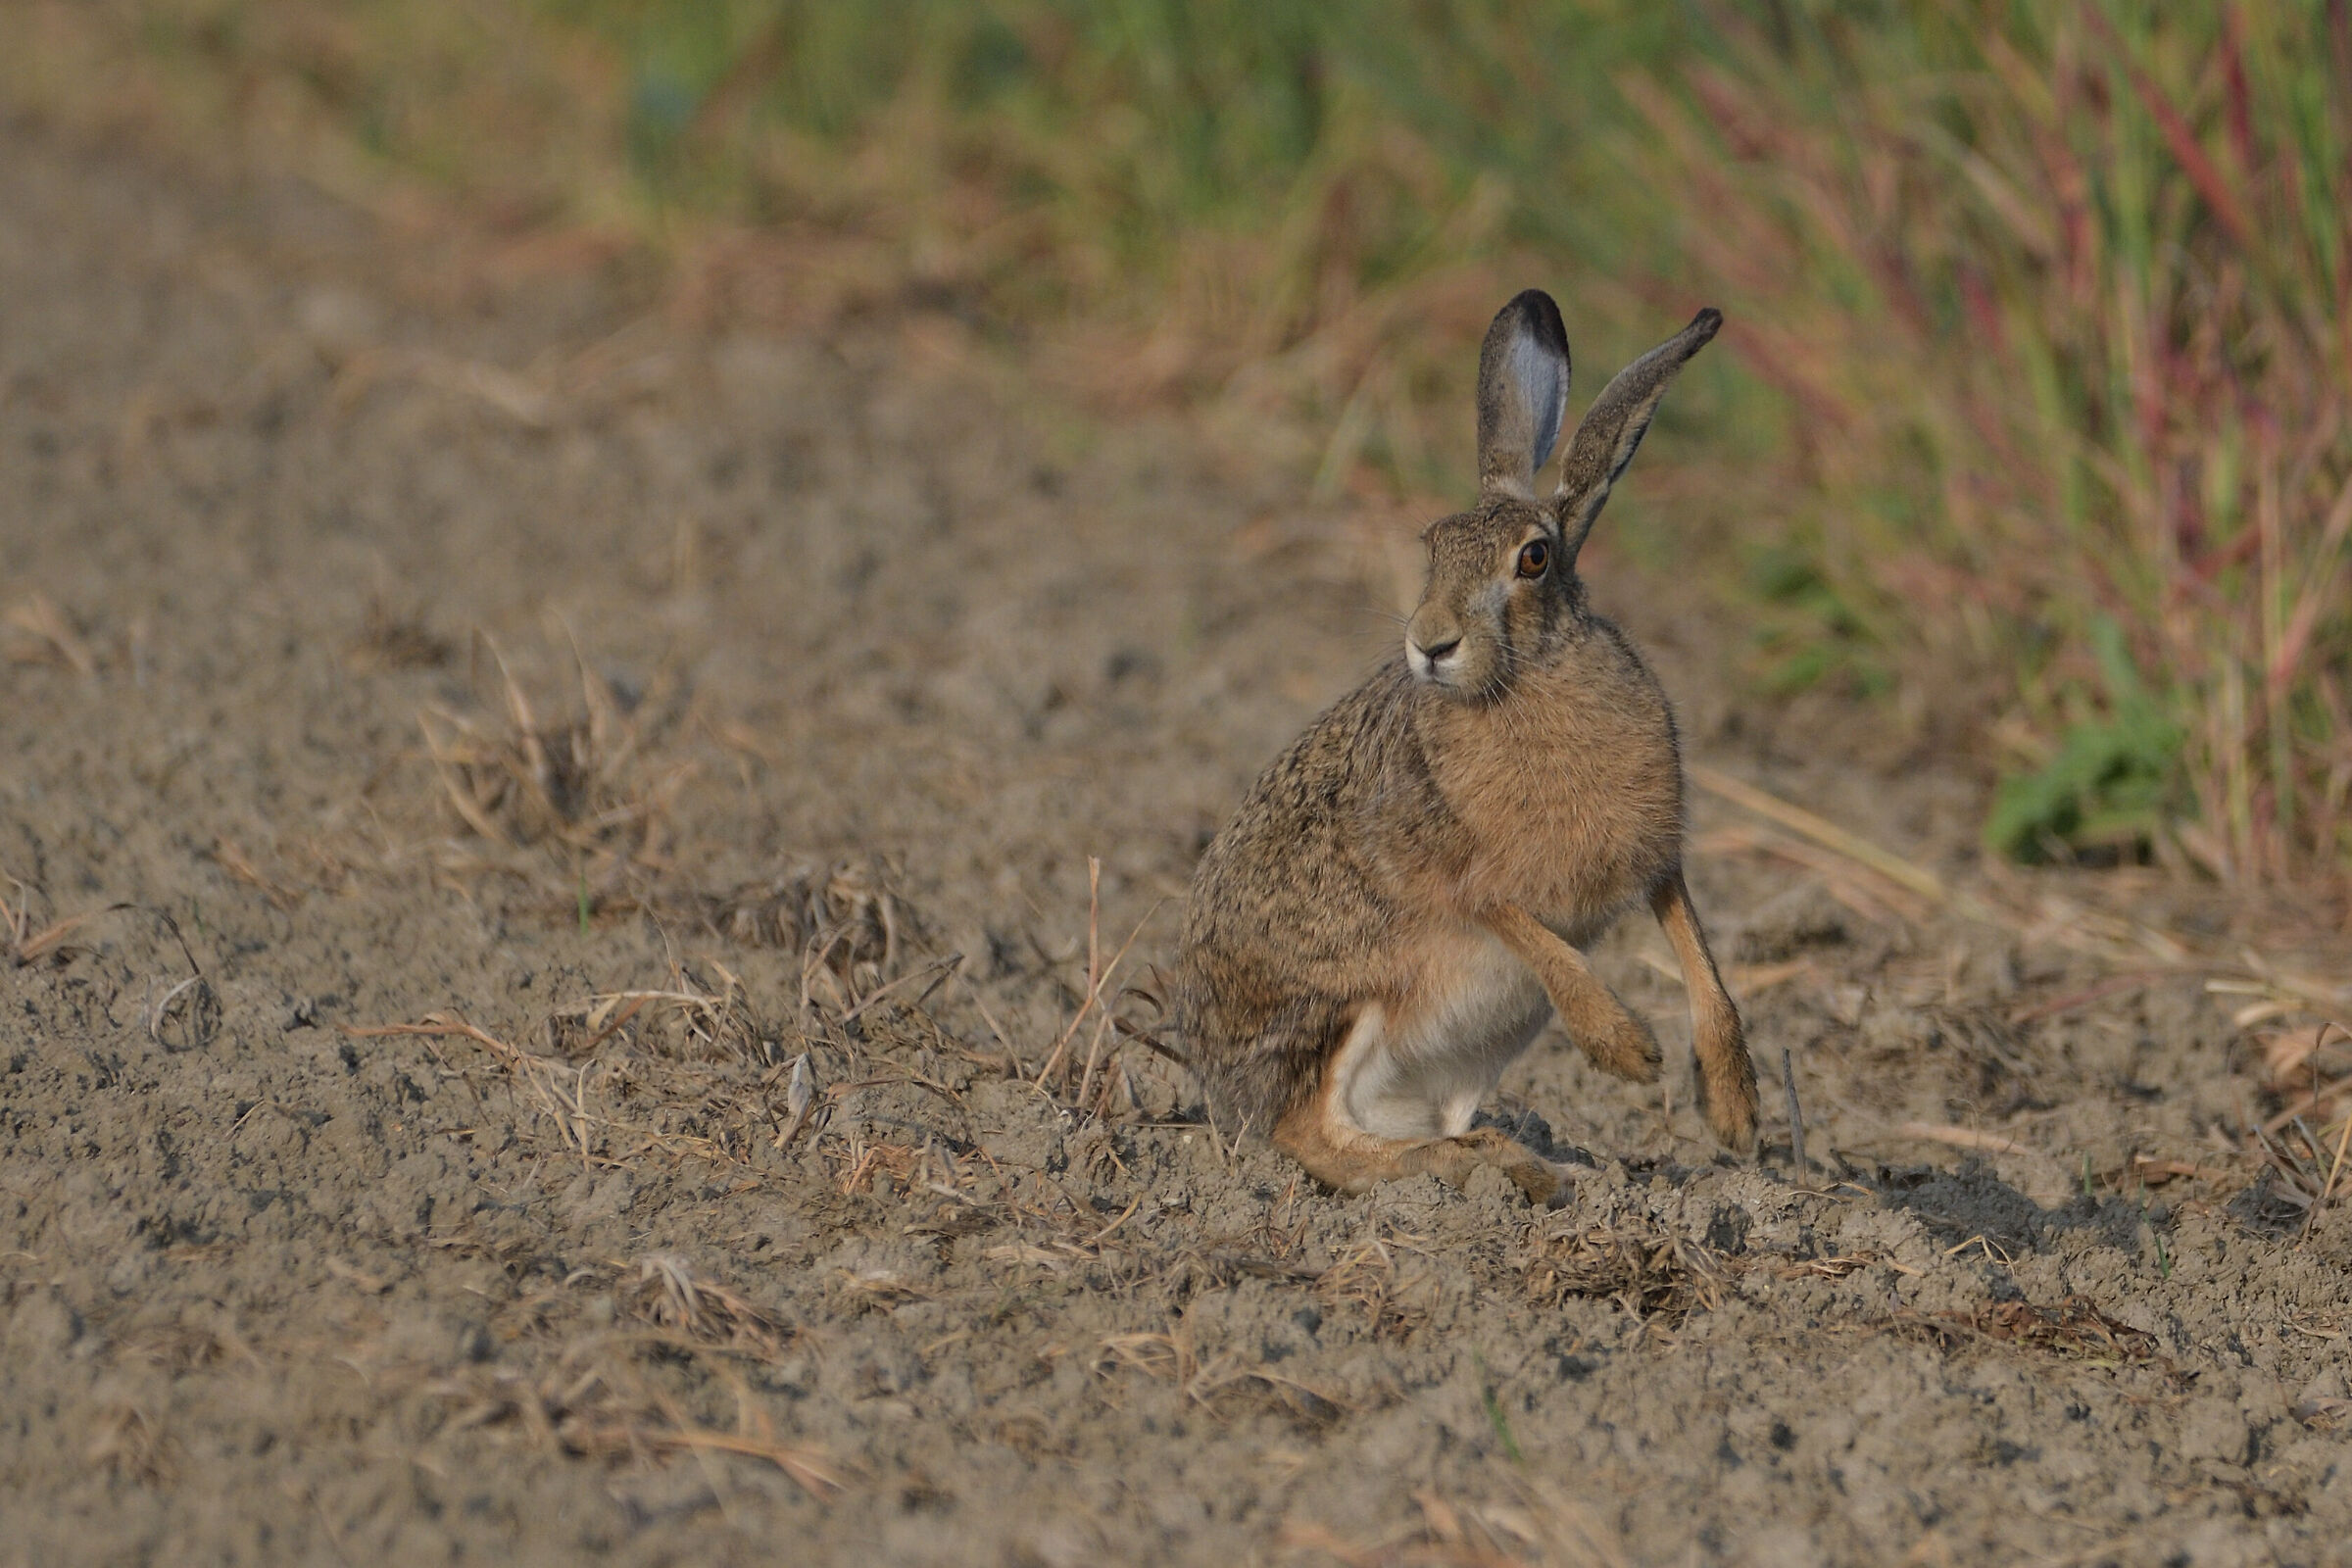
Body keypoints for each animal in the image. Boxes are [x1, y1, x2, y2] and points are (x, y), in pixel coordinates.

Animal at [1173, 289, 1758, 1204]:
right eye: (1432, 548)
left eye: (1535, 558)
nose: (1430, 644)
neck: (1525, 679)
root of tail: (1222, 1093)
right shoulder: (1458, 876)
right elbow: (1527, 930)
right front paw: (1627, 1050)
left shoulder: (1656, 861)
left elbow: (1703, 965)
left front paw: (1733, 1112)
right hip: (1349, 1007)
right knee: (1316, 1136)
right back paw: (1498, 1166)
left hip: (1483, 1035)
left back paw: (1540, 1167)